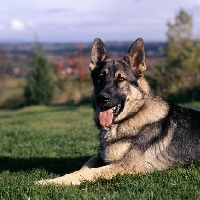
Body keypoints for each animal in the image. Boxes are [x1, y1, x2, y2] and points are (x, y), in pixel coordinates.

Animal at [36, 38, 199, 186]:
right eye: (100, 78)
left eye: (120, 79)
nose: (102, 98)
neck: (133, 115)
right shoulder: (101, 157)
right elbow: (85, 165)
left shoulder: (125, 166)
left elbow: (89, 172)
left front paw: (48, 182)